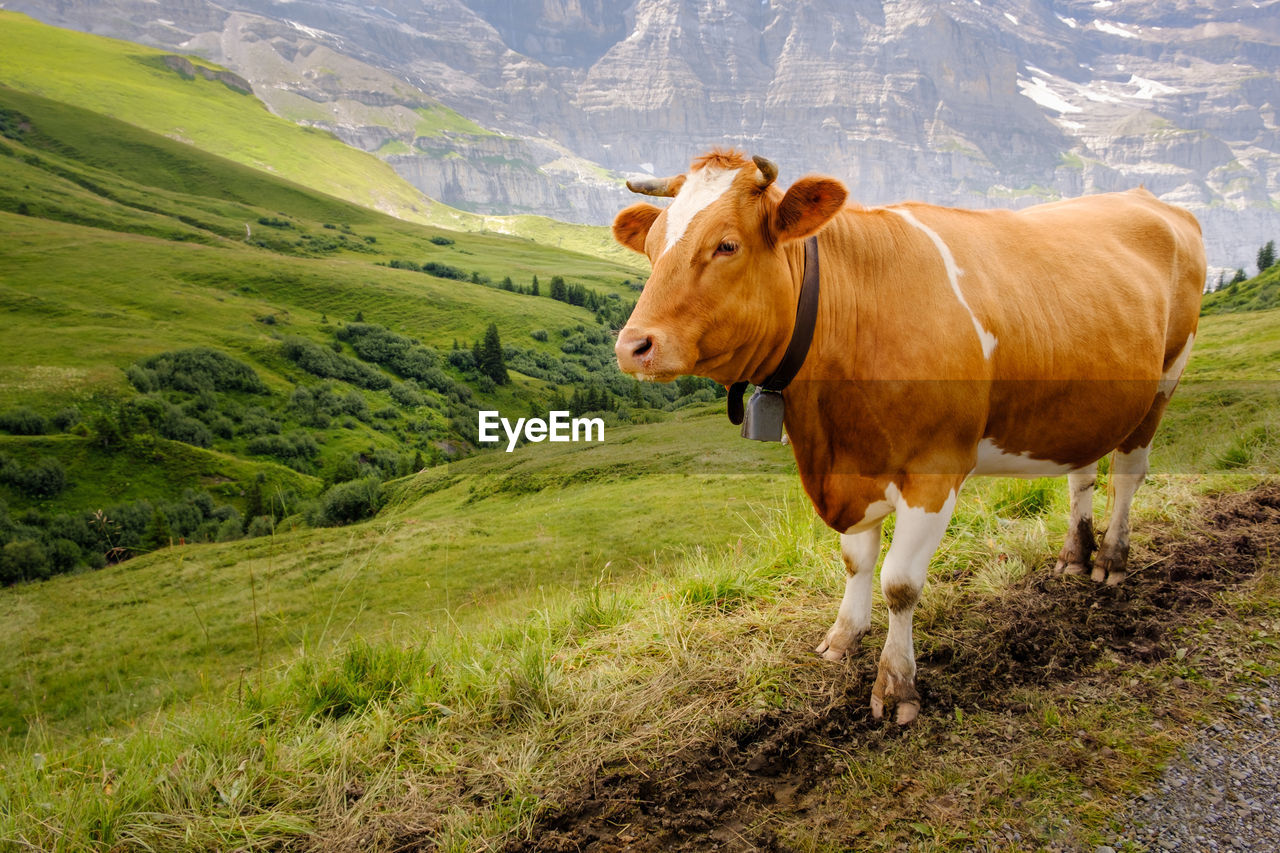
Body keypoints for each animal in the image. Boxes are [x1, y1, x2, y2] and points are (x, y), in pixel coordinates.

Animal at [614, 149, 1203, 722]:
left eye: (727, 244)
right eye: (652, 247)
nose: (632, 346)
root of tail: (1150, 199)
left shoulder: (935, 471)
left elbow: (899, 583)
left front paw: (896, 683)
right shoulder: (854, 465)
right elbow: (856, 560)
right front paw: (842, 638)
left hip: (1163, 382)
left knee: (1126, 476)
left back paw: (1110, 561)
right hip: (1084, 404)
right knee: (1081, 474)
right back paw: (1075, 555)